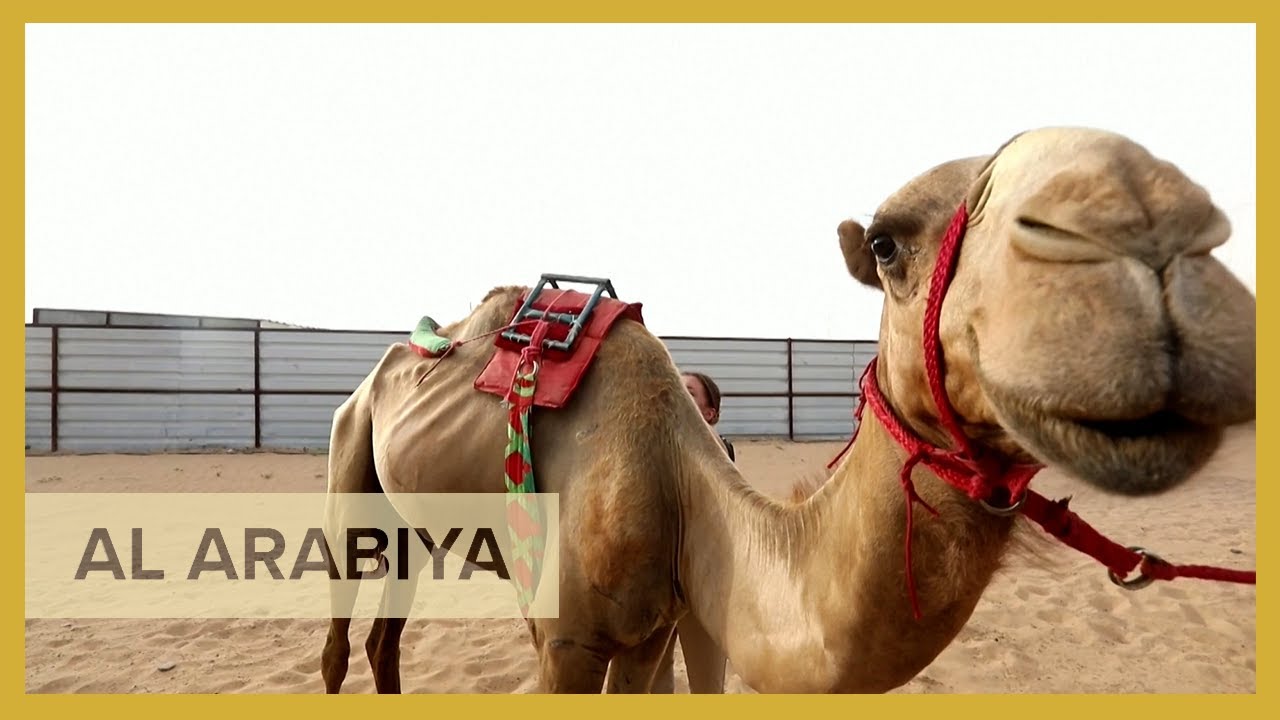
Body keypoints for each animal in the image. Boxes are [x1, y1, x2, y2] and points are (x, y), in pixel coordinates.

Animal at [319, 126, 1255, 694]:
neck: (674, 476)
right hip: (351, 442)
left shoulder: (652, 627)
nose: (1147, 218)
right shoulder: (568, 640)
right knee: (338, 630)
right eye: (884, 243)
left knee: (384, 634)